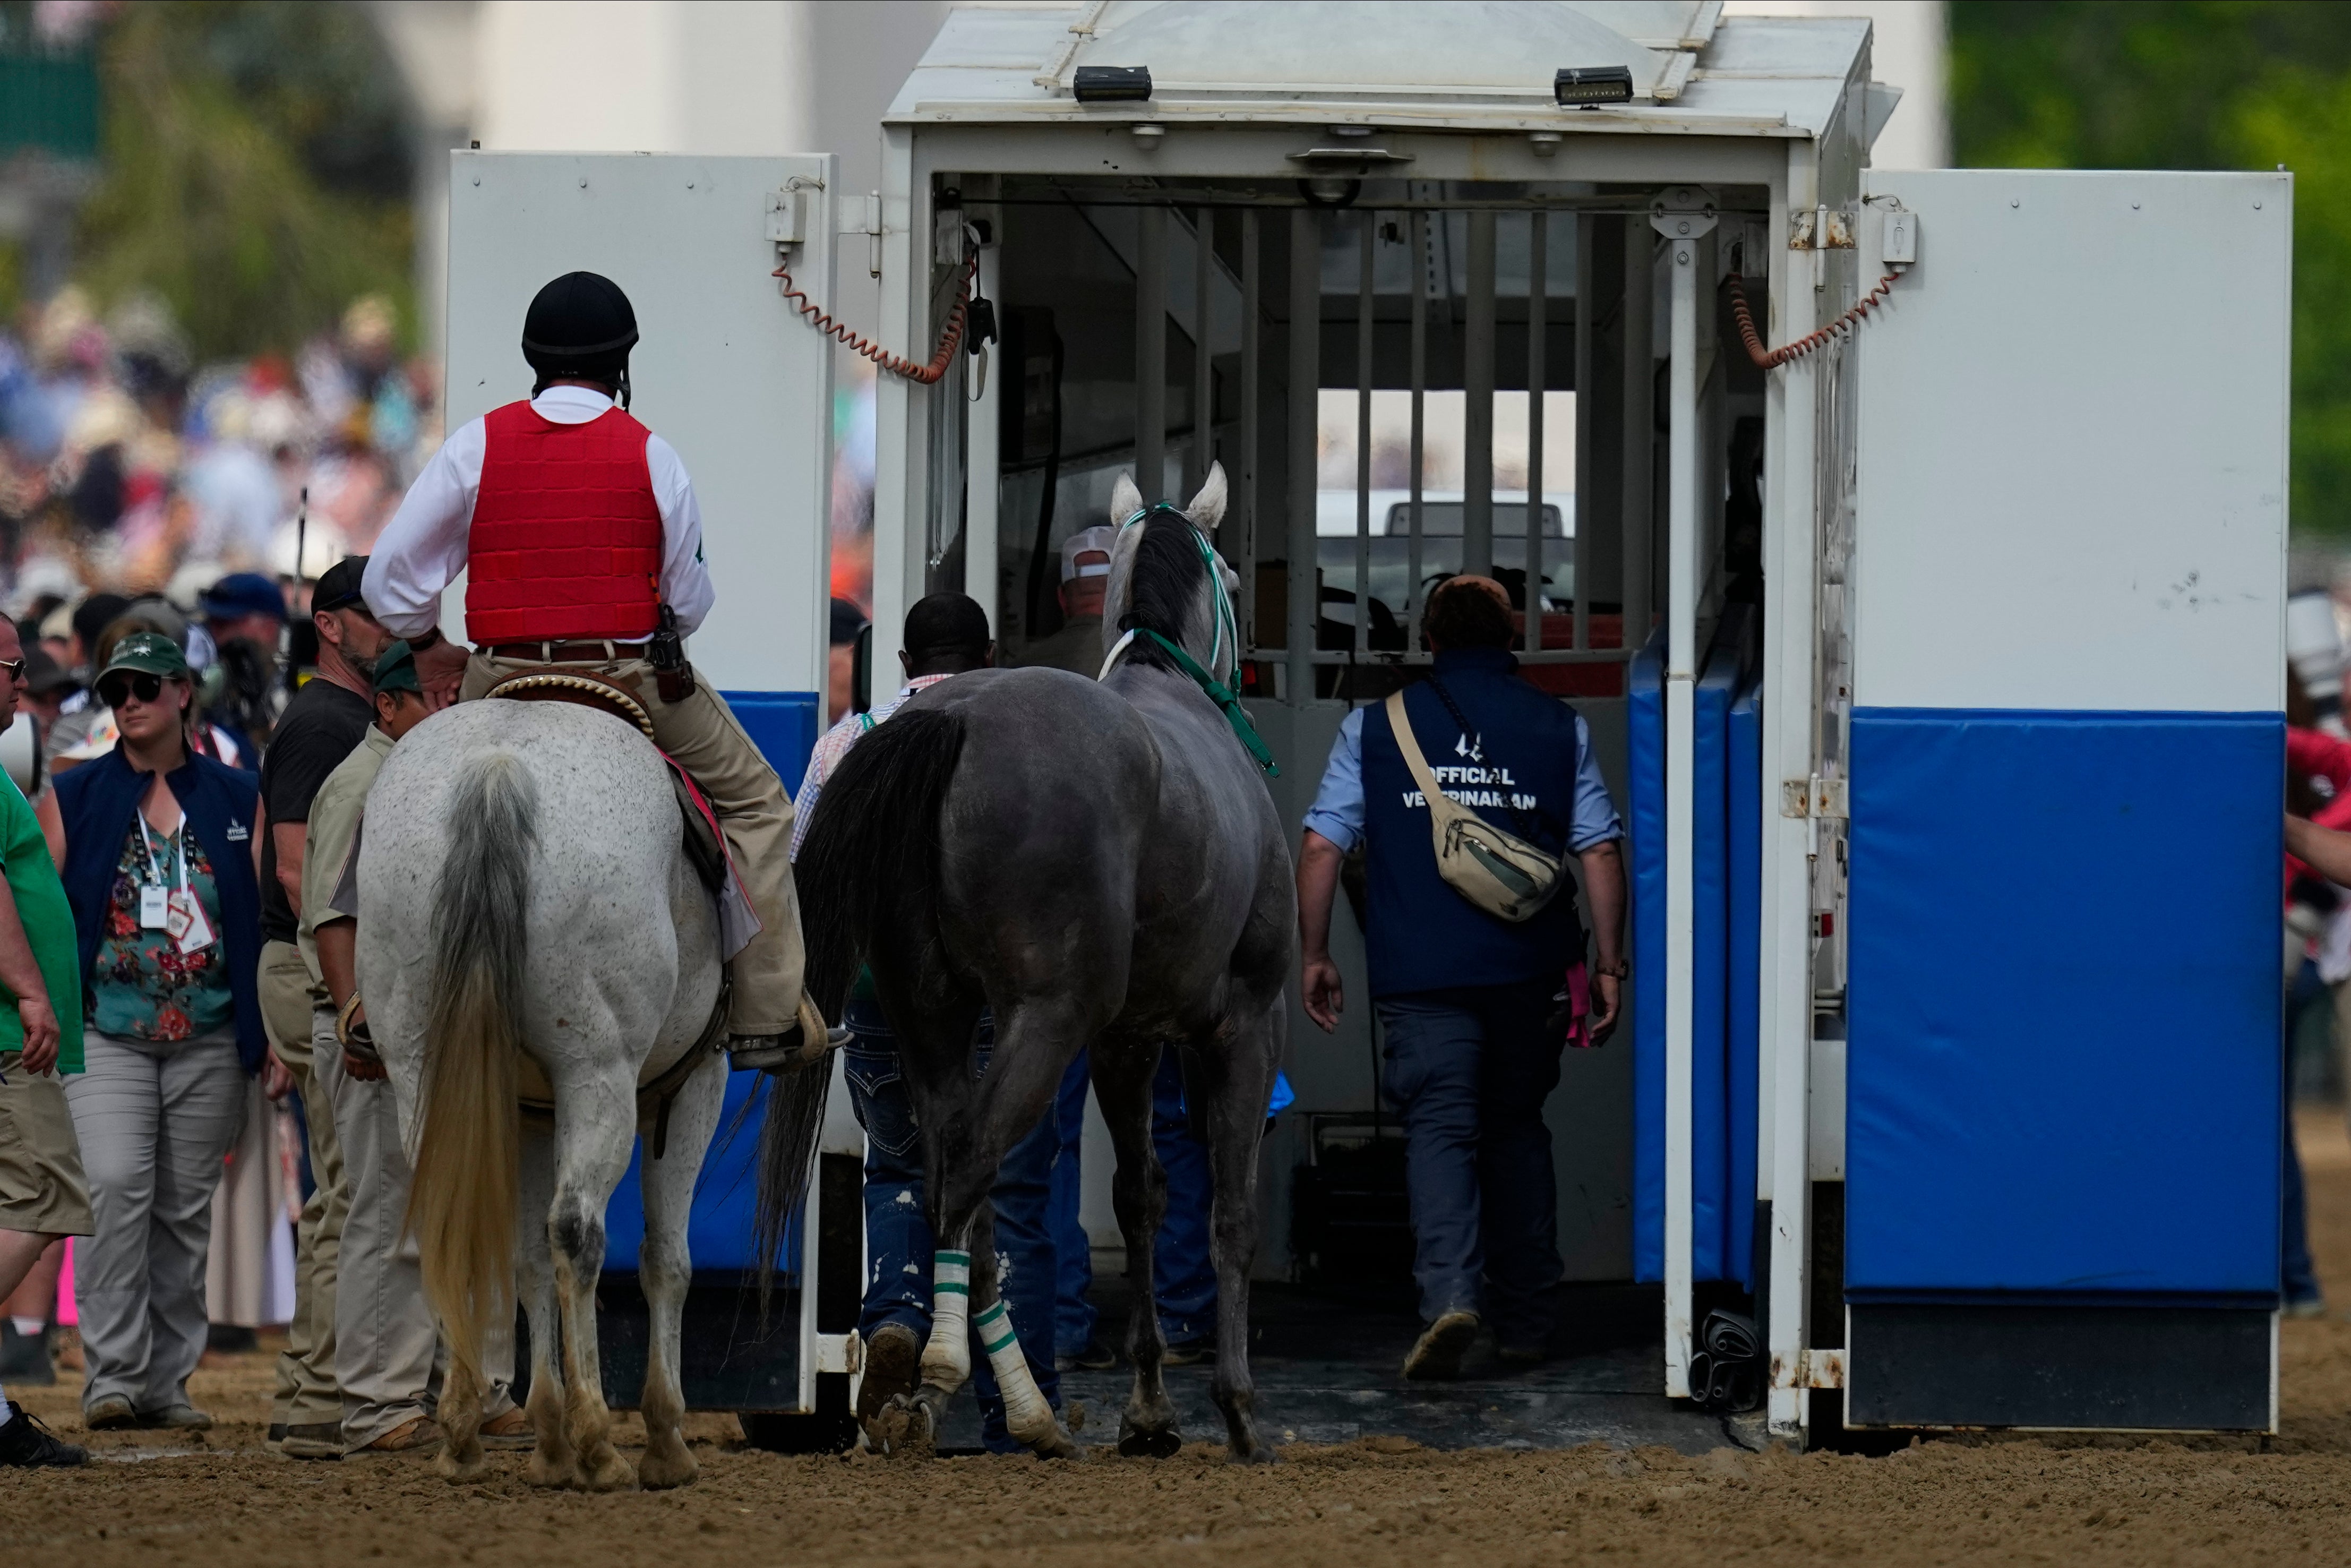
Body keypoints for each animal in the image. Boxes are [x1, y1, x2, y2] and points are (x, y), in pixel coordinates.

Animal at [785, 463, 1307, 1457]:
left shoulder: (1126, 1041)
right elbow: (1229, 1208)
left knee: (947, 1172)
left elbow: (1140, 1196)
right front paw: (1237, 1407)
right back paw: (947, 1376)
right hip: (1044, 1016)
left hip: (931, 1014)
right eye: (1228, 569)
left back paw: (1009, 1399)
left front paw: (1148, 1409)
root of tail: (953, 719)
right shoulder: (1244, 1025)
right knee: (975, 1159)